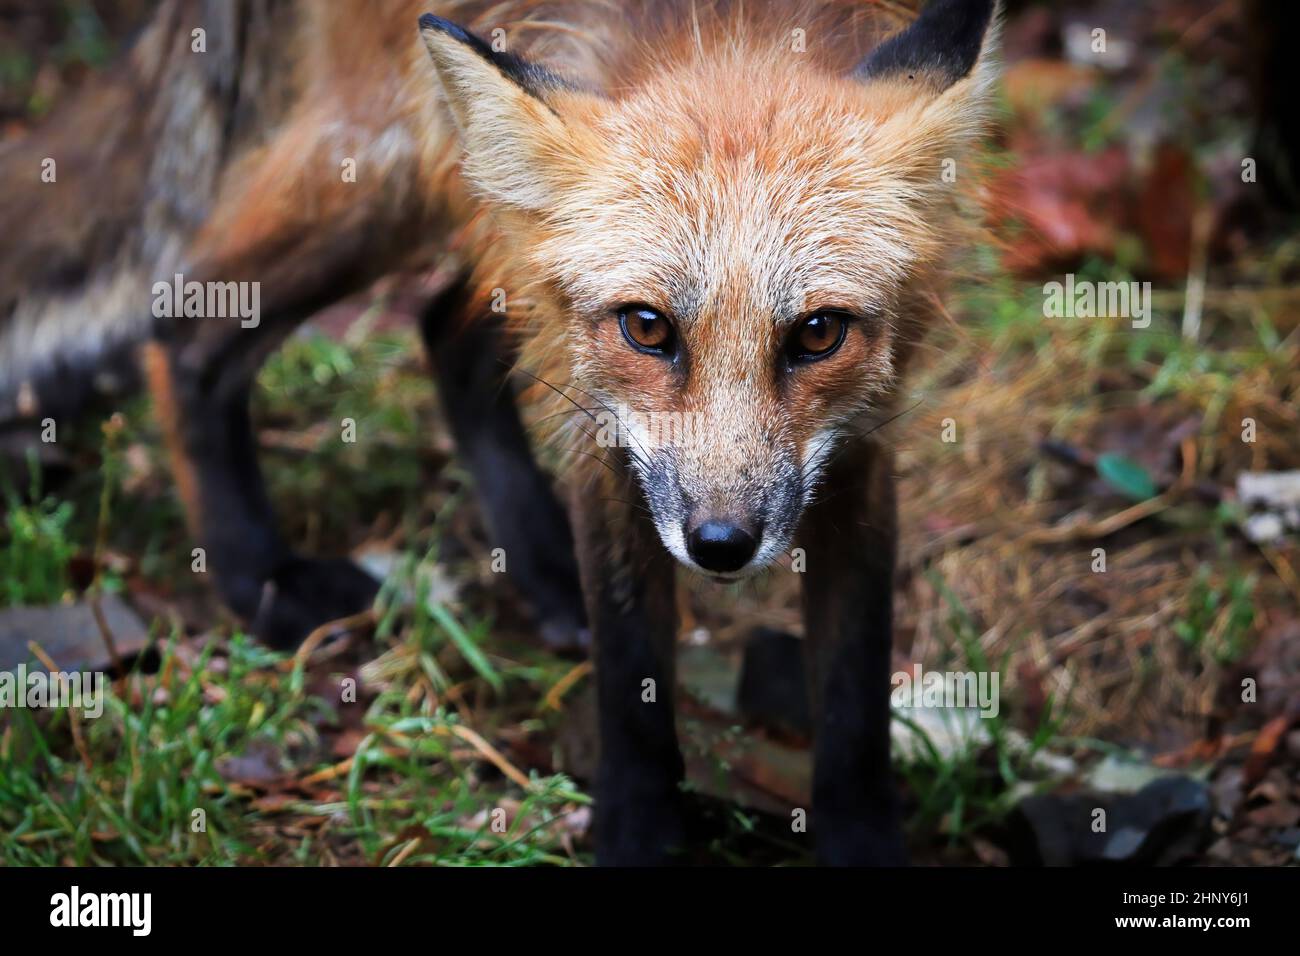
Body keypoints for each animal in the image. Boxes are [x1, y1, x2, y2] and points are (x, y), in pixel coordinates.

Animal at [0, 0, 998, 868]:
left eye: (818, 335)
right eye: (647, 328)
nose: (721, 545)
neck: (730, 29)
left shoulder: (859, 442)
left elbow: (855, 692)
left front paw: (862, 844)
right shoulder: (605, 423)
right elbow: (631, 676)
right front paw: (637, 838)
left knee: (444, 327)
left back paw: (539, 566)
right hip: (386, 160)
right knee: (185, 326)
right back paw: (260, 580)